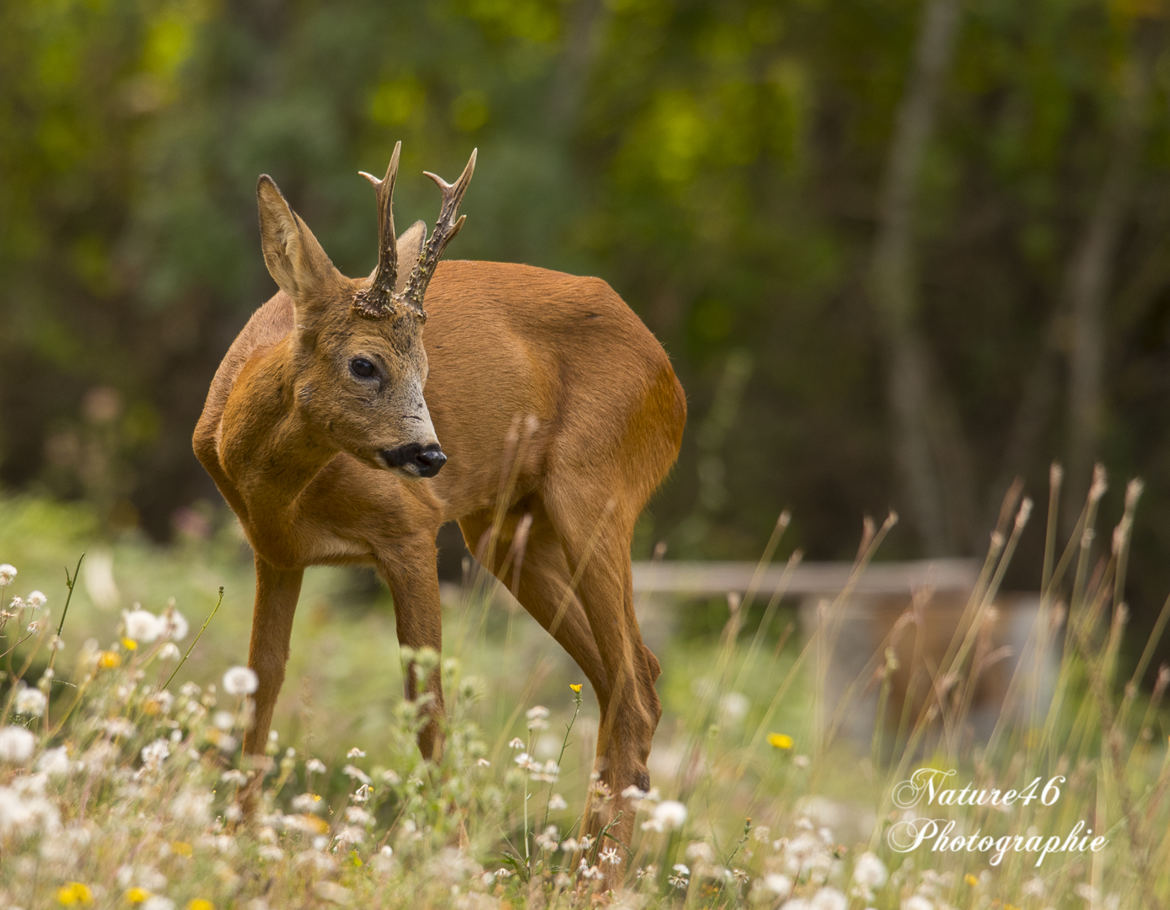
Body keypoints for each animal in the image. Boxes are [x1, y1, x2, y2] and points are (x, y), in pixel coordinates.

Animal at [189, 143, 683, 870]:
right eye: (365, 364)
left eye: (426, 366)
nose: (430, 456)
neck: (275, 484)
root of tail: (671, 376)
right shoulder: (275, 551)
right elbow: (263, 680)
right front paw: (240, 842)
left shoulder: (409, 529)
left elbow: (427, 702)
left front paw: (451, 856)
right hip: (507, 530)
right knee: (627, 676)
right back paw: (585, 866)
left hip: (597, 488)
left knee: (635, 688)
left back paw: (592, 876)